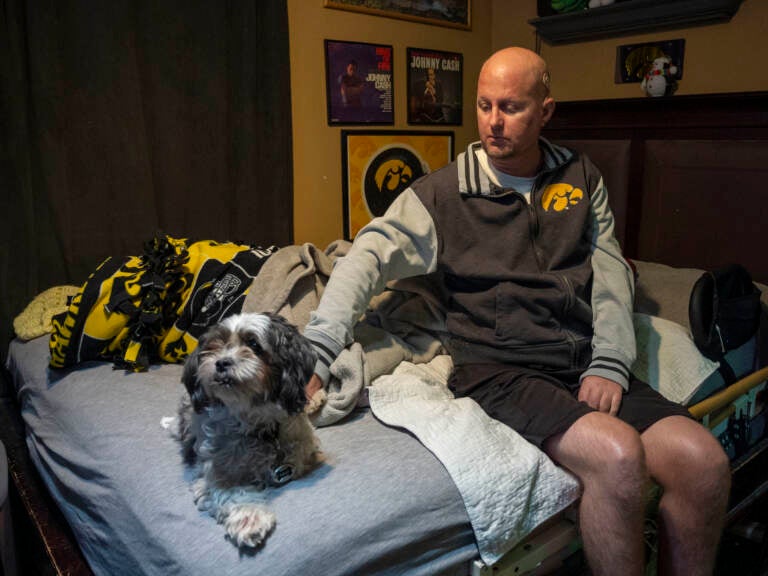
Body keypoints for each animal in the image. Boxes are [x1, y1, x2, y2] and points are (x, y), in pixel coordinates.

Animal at [165, 312, 324, 548]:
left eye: (253, 344)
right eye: (216, 345)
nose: (221, 362)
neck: (259, 428)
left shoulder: (302, 445)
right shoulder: (214, 470)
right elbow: (231, 490)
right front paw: (250, 518)